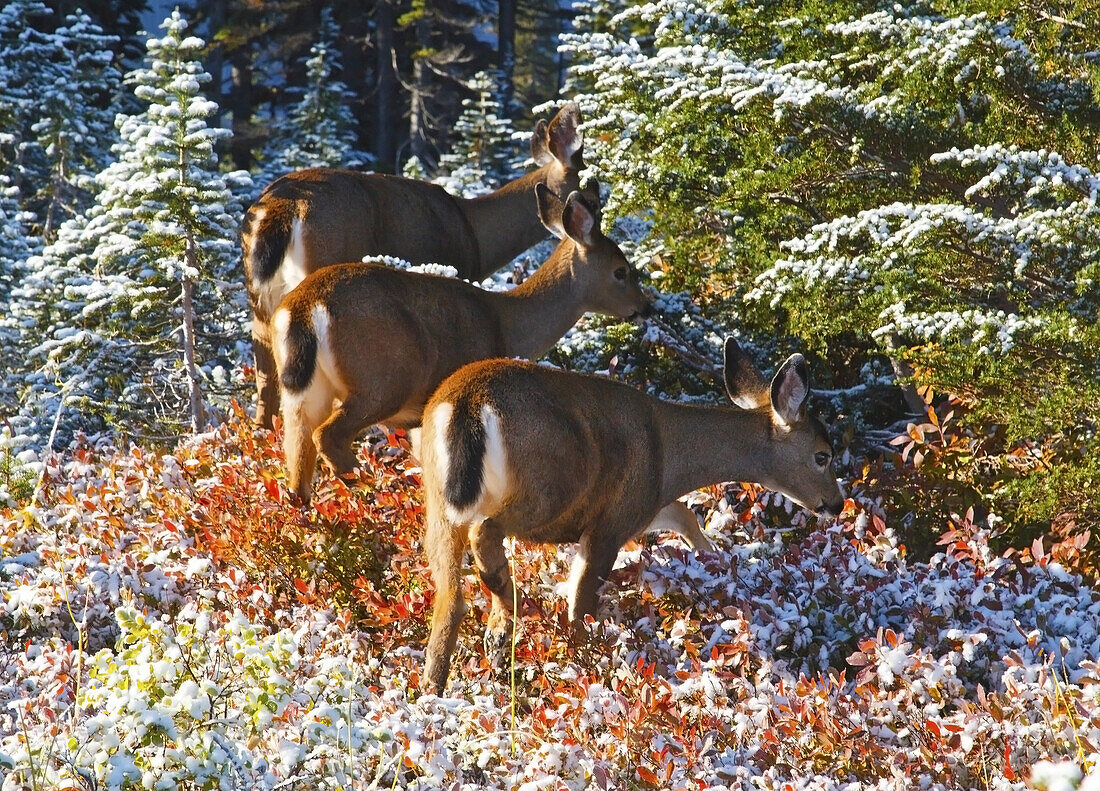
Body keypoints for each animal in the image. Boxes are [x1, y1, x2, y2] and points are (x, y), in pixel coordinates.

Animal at [246, 103, 598, 433]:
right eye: (592, 190)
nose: (600, 222)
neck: (475, 234)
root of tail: (282, 208)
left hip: (259, 299)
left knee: (266, 376)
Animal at [271, 184, 646, 503]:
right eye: (621, 271)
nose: (645, 306)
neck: (508, 322)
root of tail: (304, 306)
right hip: (382, 379)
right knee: (329, 436)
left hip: (304, 389)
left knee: (296, 462)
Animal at [415, 341, 844, 695]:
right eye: (822, 455)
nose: (836, 504)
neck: (669, 456)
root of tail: (468, 401)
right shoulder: (613, 520)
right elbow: (579, 606)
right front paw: (585, 664)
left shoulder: (645, 506)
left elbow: (685, 515)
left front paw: (713, 561)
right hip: (549, 486)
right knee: (486, 532)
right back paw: (505, 611)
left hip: (438, 502)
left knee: (450, 597)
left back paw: (442, 680)